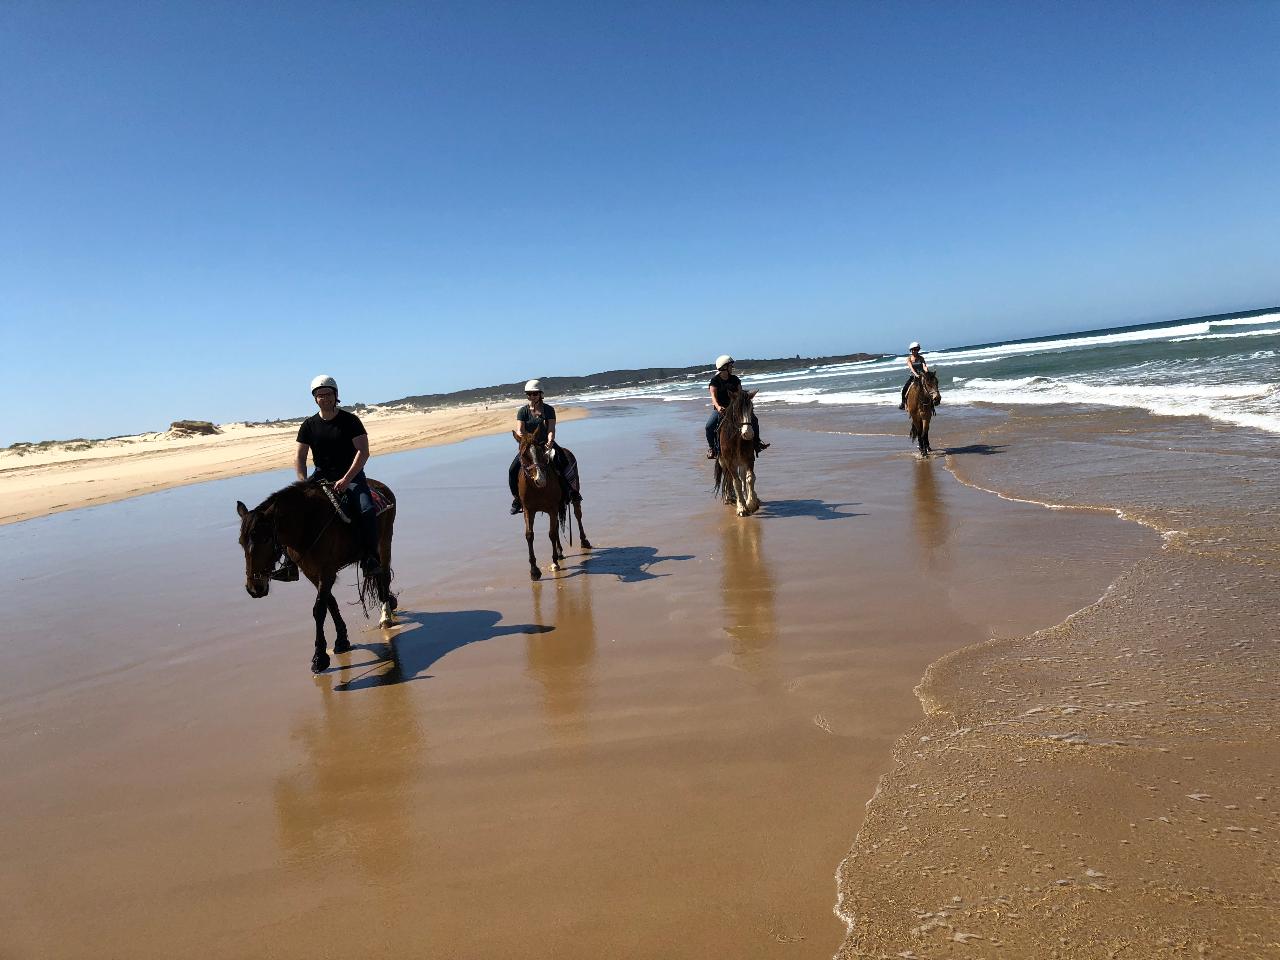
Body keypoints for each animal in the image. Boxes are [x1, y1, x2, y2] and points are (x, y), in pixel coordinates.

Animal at [238, 481, 396, 675]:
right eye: (241, 542)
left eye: (266, 539)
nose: (254, 588)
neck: (306, 525)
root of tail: (381, 486)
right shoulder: (312, 573)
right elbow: (330, 603)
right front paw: (342, 640)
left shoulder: (327, 572)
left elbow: (319, 610)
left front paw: (320, 657)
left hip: (385, 542)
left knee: (384, 577)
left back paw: (385, 617)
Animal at [512, 435, 591, 583]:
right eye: (524, 455)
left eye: (541, 452)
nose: (540, 480)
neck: (536, 489)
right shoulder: (528, 510)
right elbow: (530, 535)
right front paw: (534, 571)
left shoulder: (552, 508)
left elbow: (552, 534)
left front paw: (554, 563)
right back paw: (560, 553)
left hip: (573, 496)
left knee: (578, 515)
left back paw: (584, 542)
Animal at [711, 389, 757, 519]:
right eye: (737, 409)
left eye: (752, 408)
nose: (748, 434)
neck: (736, 438)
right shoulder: (729, 461)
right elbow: (736, 482)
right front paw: (741, 508)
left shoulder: (749, 459)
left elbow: (749, 478)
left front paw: (751, 503)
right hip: (723, 462)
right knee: (729, 477)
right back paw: (729, 497)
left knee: (741, 477)